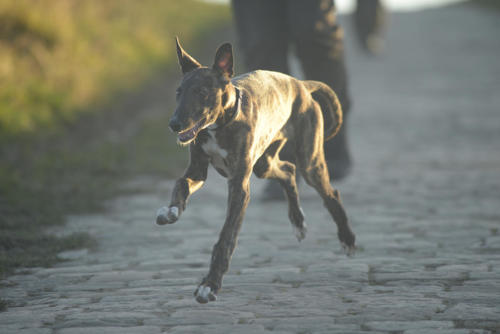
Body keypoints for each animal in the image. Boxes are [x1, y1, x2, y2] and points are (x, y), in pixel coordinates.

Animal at [156, 37, 356, 304]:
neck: (222, 123)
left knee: (330, 193)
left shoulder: (239, 187)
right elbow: (180, 184)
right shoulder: (197, 171)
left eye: (202, 92)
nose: (174, 124)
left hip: (310, 160)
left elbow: (227, 236)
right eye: (179, 92)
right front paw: (171, 211)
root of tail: (301, 86)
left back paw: (347, 239)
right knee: (288, 170)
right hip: (265, 163)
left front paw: (210, 285)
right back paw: (298, 221)